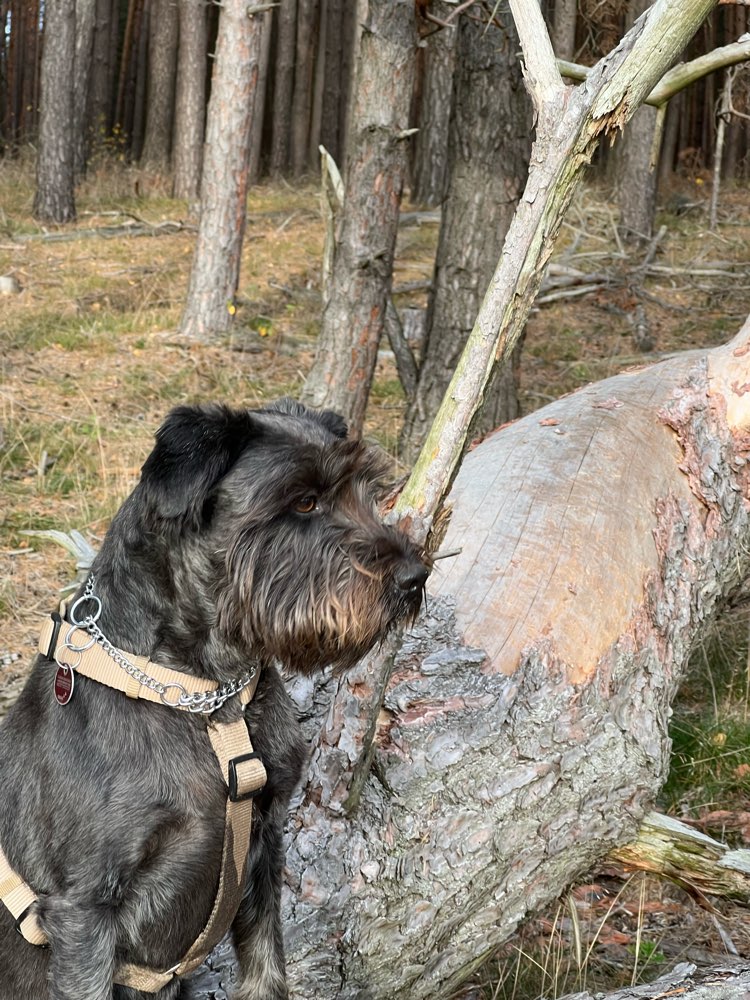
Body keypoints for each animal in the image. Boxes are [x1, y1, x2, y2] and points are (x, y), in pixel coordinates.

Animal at [0, 400, 426, 1000]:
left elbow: (267, 971)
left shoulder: (264, 846)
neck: (208, 699)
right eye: (304, 501)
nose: (415, 577)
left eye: (364, 490)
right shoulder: (83, 910)